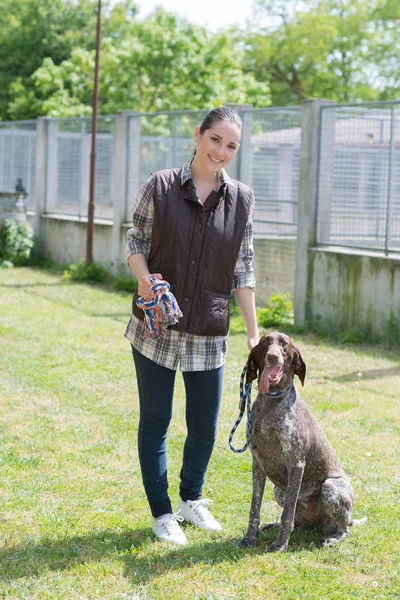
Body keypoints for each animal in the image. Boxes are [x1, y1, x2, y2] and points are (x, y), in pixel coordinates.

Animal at [241, 330, 362, 552]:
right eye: (265, 343)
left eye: (284, 345)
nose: (273, 356)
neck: (272, 402)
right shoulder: (258, 464)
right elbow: (255, 507)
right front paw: (250, 538)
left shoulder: (296, 464)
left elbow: (287, 513)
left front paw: (280, 544)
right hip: (278, 489)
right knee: (297, 522)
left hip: (331, 487)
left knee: (343, 529)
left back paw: (331, 538)